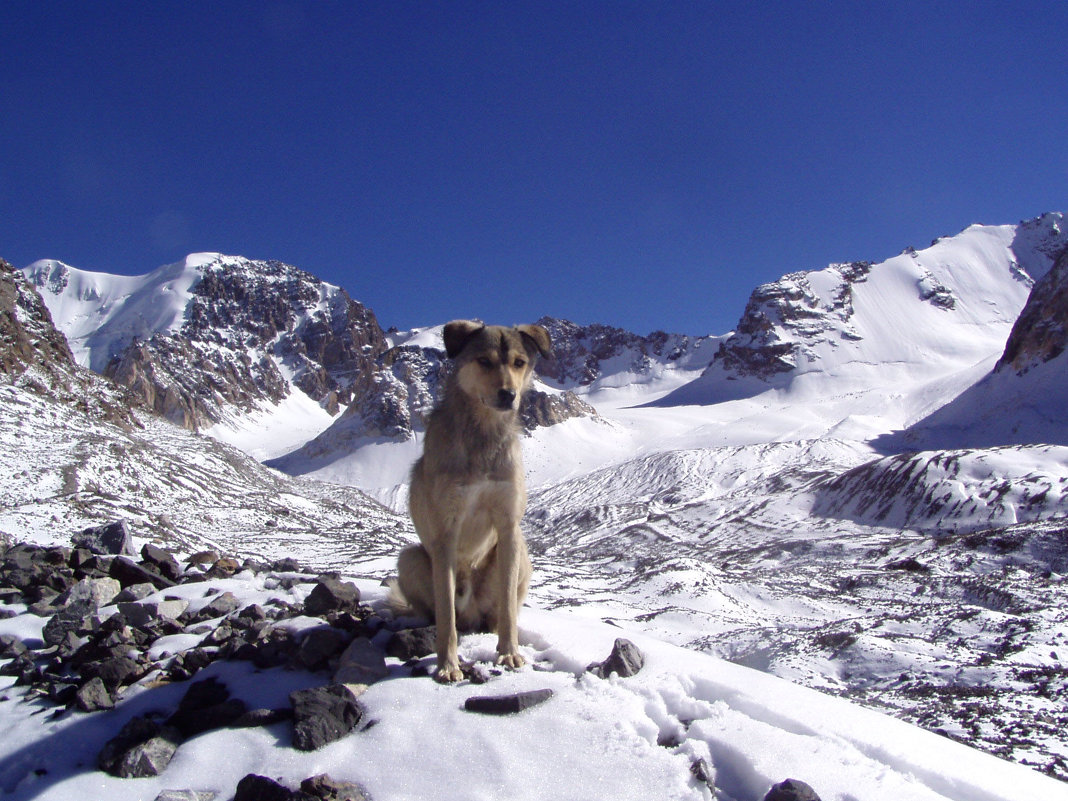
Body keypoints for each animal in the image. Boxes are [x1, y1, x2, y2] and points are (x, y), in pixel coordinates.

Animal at [388, 320, 551, 683]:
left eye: (519, 363)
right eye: (484, 361)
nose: (509, 394)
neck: (484, 435)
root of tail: (472, 614)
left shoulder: (508, 526)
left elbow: (508, 606)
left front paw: (509, 652)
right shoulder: (446, 532)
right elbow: (446, 616)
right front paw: (447, 665)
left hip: (521, 553)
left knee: (499, 611)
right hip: (410, 558)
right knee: (441, 612)